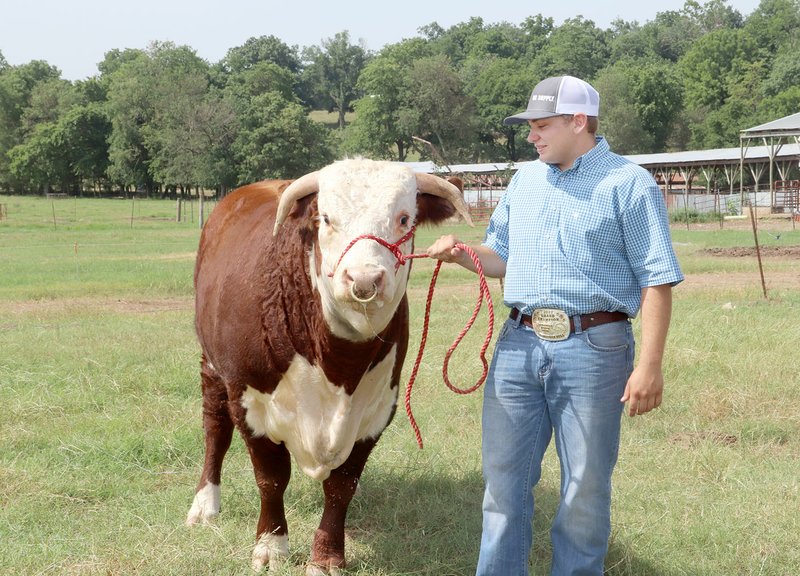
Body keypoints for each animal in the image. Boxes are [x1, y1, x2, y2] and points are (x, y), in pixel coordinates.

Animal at [184, 159, 472, 576]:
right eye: (326, 218)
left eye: (404, 219)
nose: (364, 278)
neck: (339, 364)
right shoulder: (249, 401)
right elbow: (270, 477)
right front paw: (271, 544)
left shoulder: (376, 411)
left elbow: (342, 485)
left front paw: (326, 555)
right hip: (211, 365)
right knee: (215, 429)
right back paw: (205, 505)